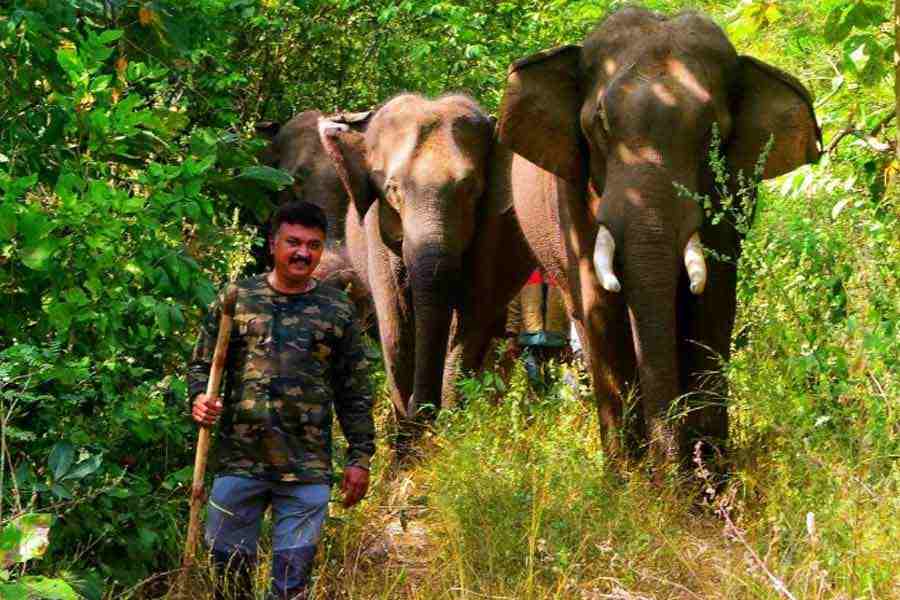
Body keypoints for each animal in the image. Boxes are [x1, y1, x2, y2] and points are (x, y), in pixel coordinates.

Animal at [318, 93, 535, 430]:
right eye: (392, 190)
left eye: (471, 190)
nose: (421, 409)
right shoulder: (377, 236)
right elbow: (396, 328)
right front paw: (412, 439)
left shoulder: (492, 234)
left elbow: (469, 317)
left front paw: (450, 430)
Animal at [488, 7, 822, 465]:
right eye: (599, 124)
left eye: (713, 132)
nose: (669, 469)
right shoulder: (571, 198)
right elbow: (601, 307)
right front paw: (629, 478)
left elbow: (711, 305)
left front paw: (706, 475)